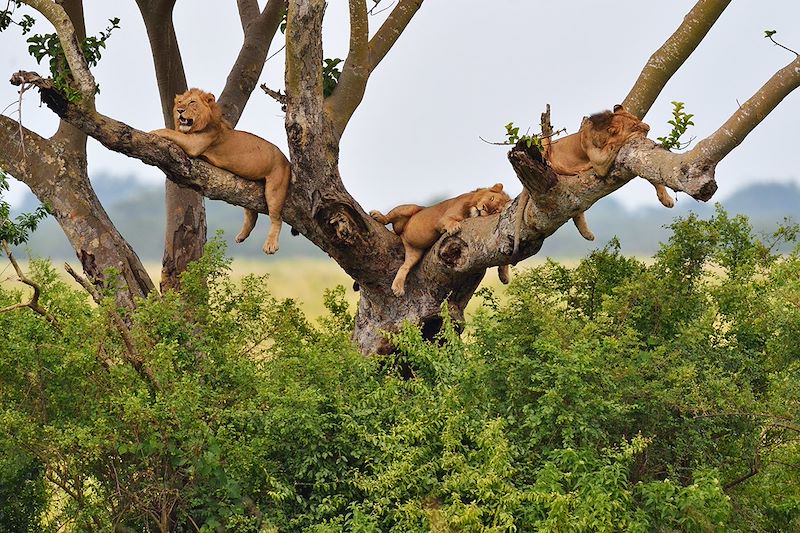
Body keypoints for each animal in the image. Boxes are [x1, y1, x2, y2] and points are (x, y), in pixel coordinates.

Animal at [150, 87, 290, 254]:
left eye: (192, 102)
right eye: (179, 102)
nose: (180, 110)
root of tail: (286, 160)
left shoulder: (194, 143)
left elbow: (170, 132)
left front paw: (153, 131)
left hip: (275, 188)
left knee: (276, 218)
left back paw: (270, 245)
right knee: (252, 214)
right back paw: (241, 236)